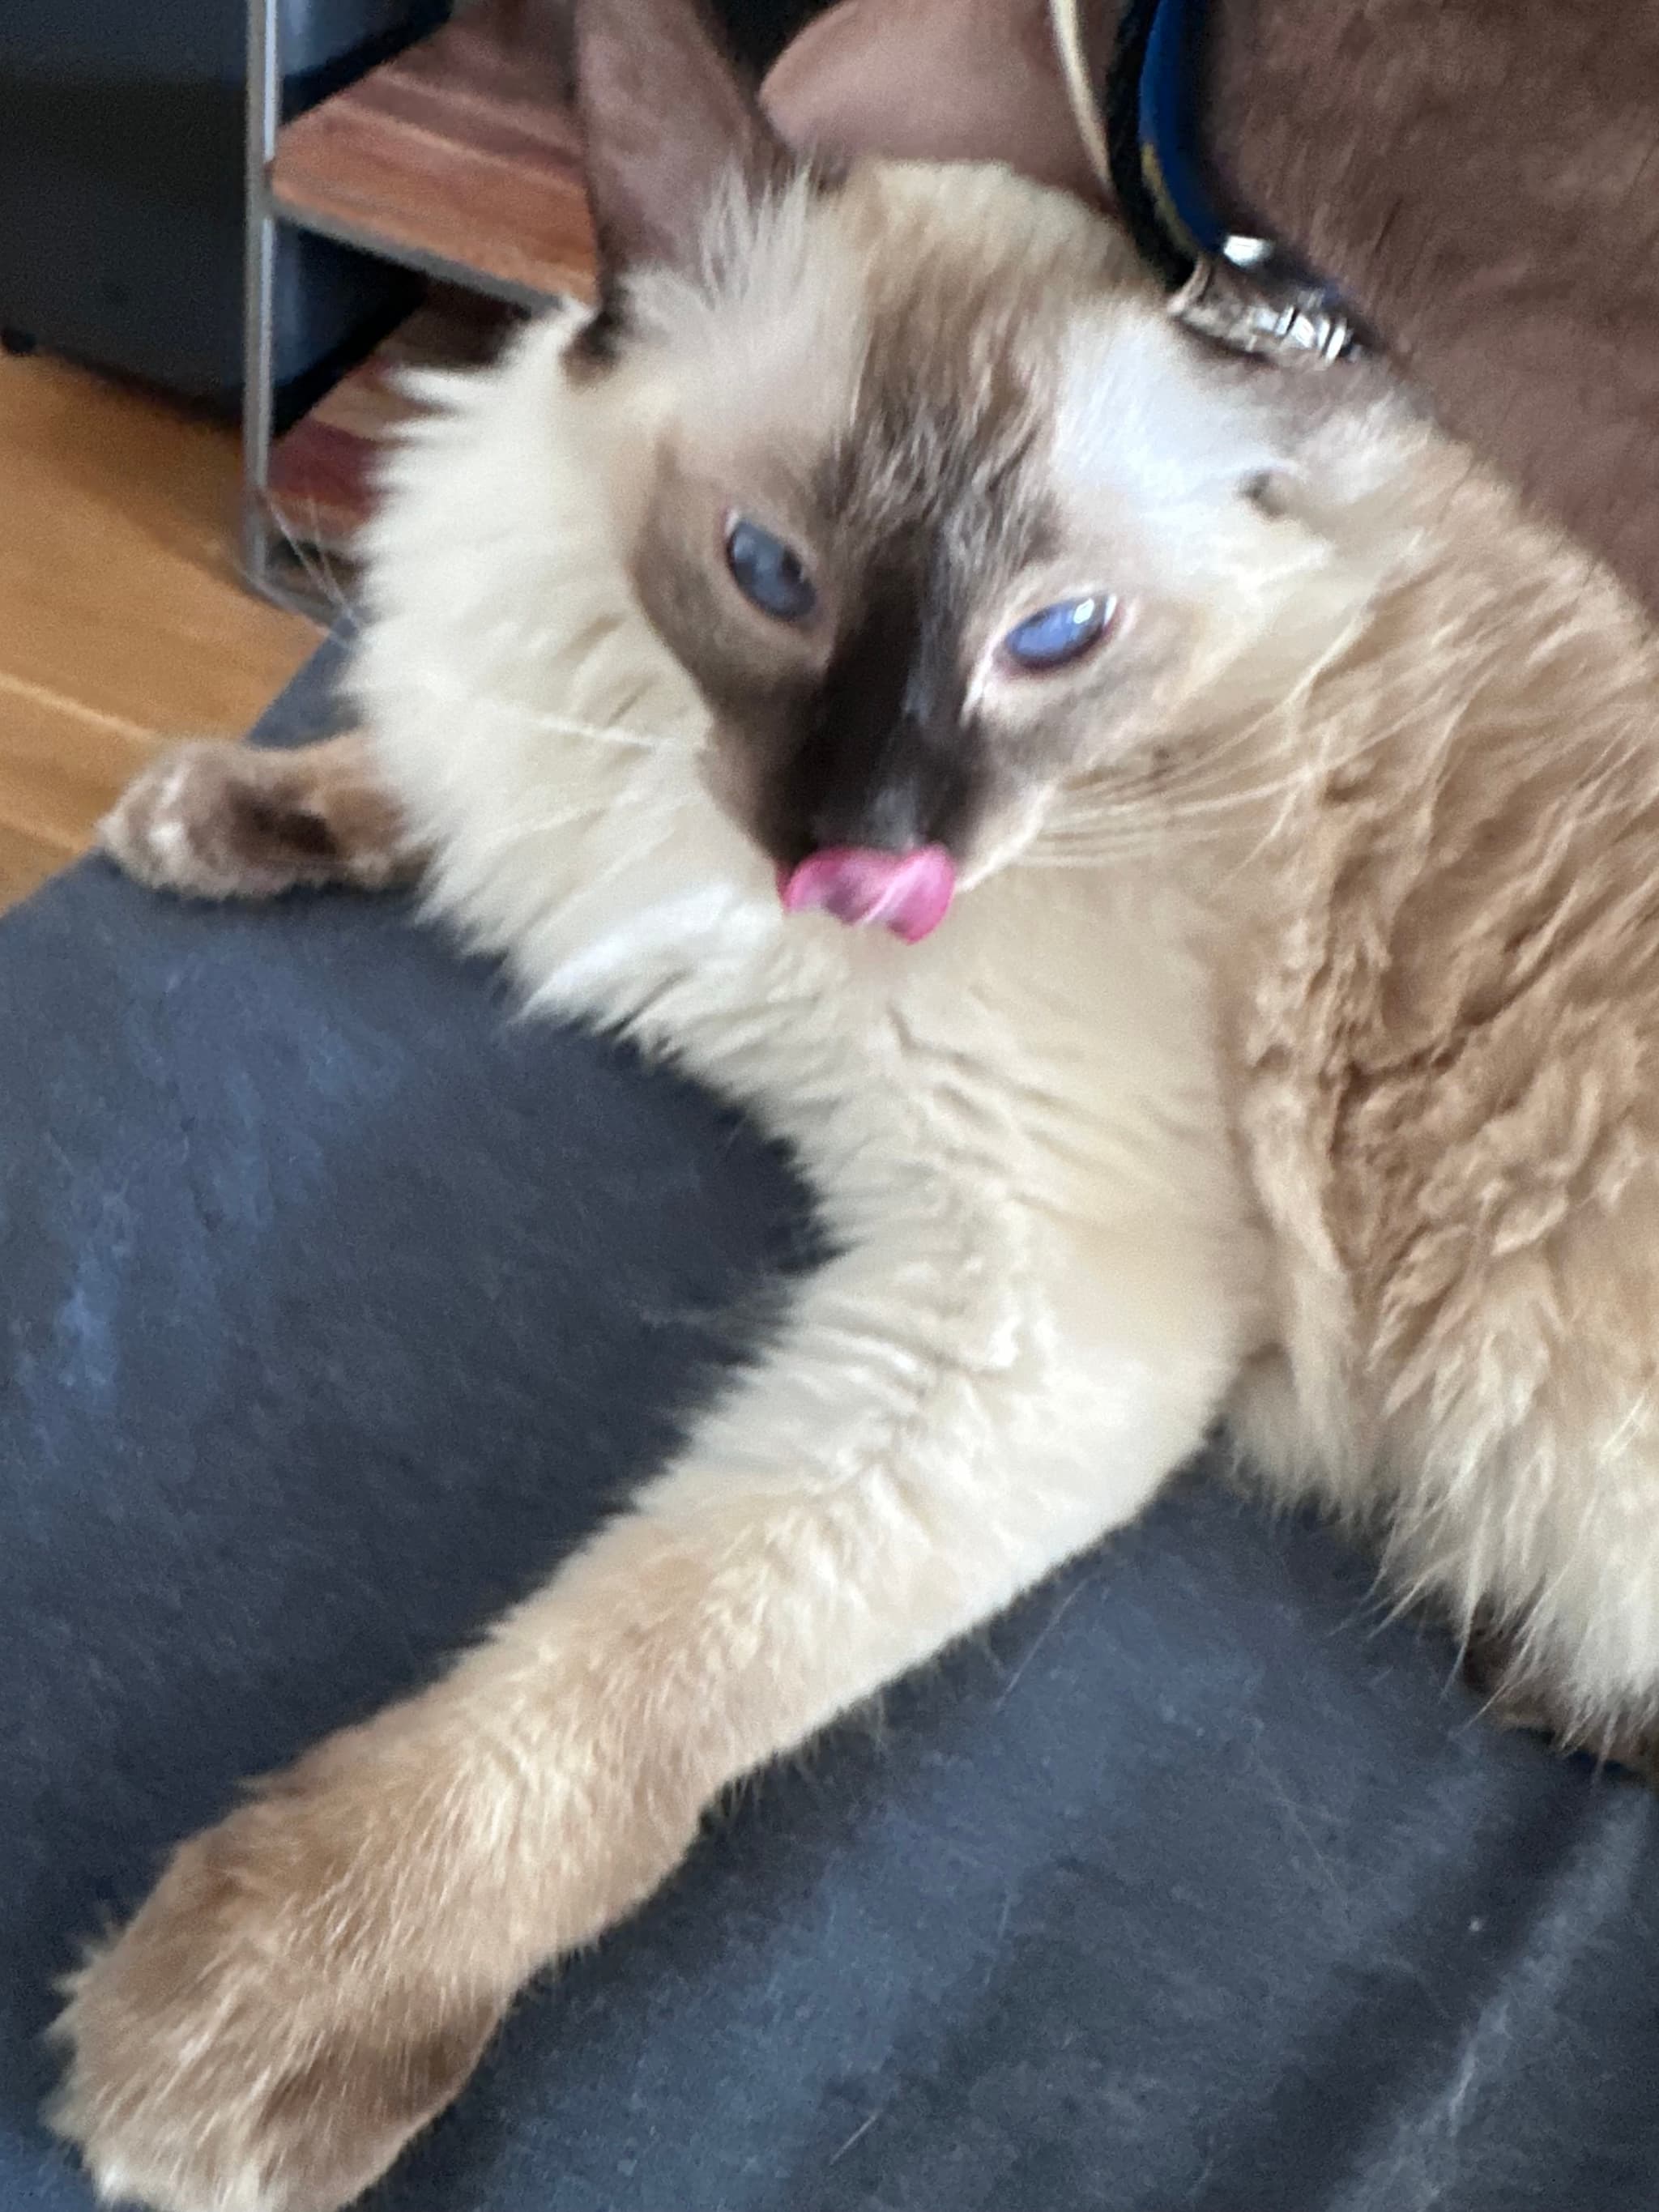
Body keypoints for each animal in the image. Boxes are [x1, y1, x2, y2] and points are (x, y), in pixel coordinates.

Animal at [52, 4, 1659, 2212]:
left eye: (1052, 638)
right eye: (769, 576)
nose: (868, 847)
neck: (672, 786)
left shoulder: (1034, 1308)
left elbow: (629, 1695)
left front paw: (239, 2029)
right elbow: (407, 779)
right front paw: (225, 811)